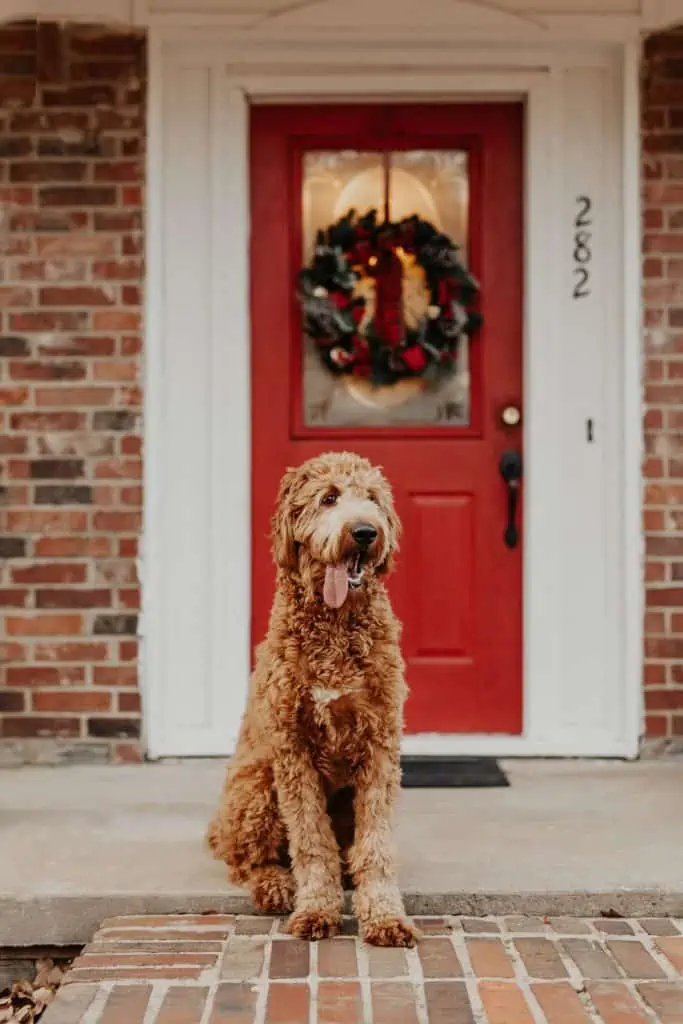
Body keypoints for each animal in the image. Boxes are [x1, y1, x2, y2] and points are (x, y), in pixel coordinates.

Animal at [205, 452, 417, 946]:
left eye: (372, 498)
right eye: (329, 498)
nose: (365, 532)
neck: (335, 626)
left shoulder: (379, 743)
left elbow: (376, 845)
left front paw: (384, 916)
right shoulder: (292, 749)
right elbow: (310, 841)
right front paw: (317, 908)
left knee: (348, 850)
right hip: (256, 787)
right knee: (246, 861)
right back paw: (275, 884)